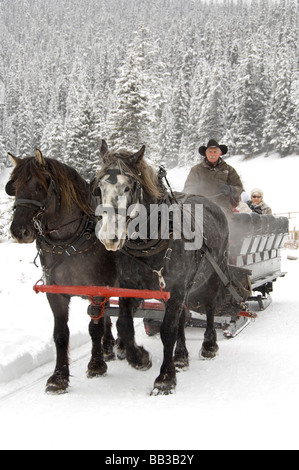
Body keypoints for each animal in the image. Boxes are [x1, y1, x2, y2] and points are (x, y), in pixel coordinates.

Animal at [4, 150, 117, 392]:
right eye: (13, 186)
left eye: (39, 186)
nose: (19, 231)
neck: (68, 241)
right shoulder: (55, 293)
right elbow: (60, 334)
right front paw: (59, 377)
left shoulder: (96, 290)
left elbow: (94, 328)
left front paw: (96, 365)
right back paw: (109, 346)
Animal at [96, 141, 230, 394]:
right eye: (99, 187)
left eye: (128, 187)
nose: (109, 237)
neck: (149, 244)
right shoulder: (133, 289)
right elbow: (124, 325)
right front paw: (140, 358)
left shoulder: (176, 290)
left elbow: (167, 332)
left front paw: (165, 378)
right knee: (182, 319)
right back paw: (181, 356)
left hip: (214, 274)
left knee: (209, 307)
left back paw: (209, 344)